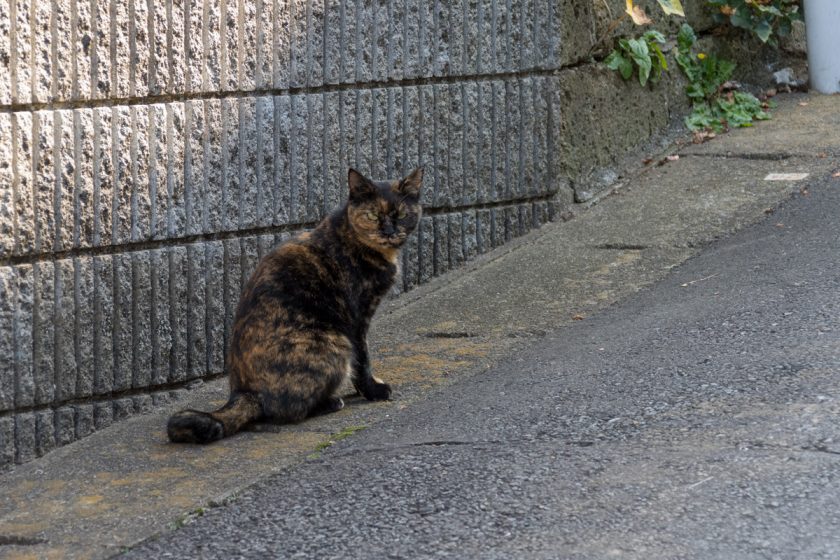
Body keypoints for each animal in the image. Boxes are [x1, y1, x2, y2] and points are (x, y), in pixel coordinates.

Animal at [167, 166, 424, 442]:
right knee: (286, 410)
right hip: (333, 342)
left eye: (402, 214)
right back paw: (330, 403)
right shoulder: (356, 319)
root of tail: (243, 392)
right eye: (373, 215)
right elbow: (362, 359)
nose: (389, 231)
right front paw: (373, 391)